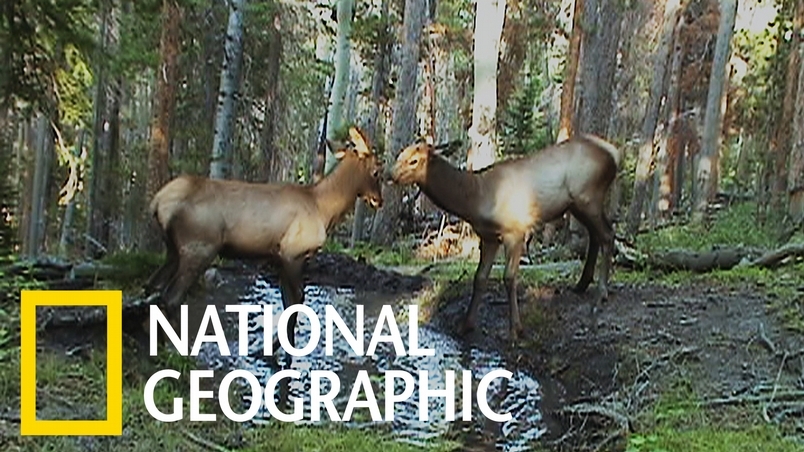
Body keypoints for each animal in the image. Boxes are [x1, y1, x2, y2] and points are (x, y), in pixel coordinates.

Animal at [143, 127, 384, 358]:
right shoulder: (292, 253)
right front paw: (275, 348)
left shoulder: (280, 259)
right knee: (171, 297)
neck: (324, 209)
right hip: (198, 248)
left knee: (151, 288)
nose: (379, 201)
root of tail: (157, 202)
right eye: (376, 171)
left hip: (173, 250)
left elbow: (289, 303)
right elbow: (297, 300)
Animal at [390, 135, 623, 341]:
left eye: (414, 160)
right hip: (578, 204)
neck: (475, 199)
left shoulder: (516, 231)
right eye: (399, 156)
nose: (389, 175)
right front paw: (466, 325)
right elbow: (480, 278)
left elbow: (509, 277)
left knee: (608, 234)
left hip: (588, 197)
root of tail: (615, 153)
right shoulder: (489, 238)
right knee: (595, 235)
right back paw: (582, 283)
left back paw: (601, 292)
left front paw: (515, 330)